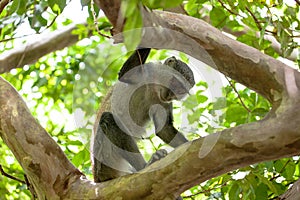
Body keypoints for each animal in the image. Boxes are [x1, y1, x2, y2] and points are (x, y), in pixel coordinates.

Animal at [91, 48, 195, 183]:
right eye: (175, 83)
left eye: (180, 91)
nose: (169, 96)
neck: (154, 86)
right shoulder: (147, 70)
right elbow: (125, 73)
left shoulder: (163, 103)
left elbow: (164, 129)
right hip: (103, 159)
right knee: (107, 118)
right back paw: (144, 165)